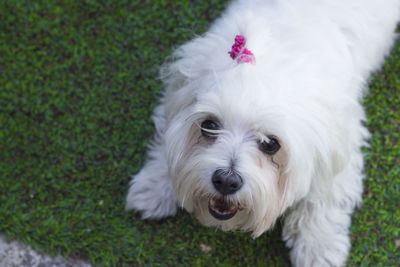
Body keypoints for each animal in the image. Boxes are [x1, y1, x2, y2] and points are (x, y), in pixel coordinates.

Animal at [126, 1, 398, 266]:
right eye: (209, 125)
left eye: (270, 144)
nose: (226, 180)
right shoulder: (179, 90)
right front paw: (154, 186)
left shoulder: (338, 137)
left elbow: (323, 191)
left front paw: (318, 245)